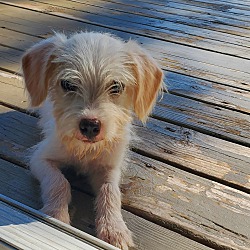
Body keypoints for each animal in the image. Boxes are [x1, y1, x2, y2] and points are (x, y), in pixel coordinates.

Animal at [22, 32, 164, 249]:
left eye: (116, 86)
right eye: (68, 84)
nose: (90, 125)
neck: (85, 150)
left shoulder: (111, 168)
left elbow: (110, 192)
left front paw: (114, 229)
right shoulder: (40, 158)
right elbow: (59, 182)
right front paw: (55, 216)